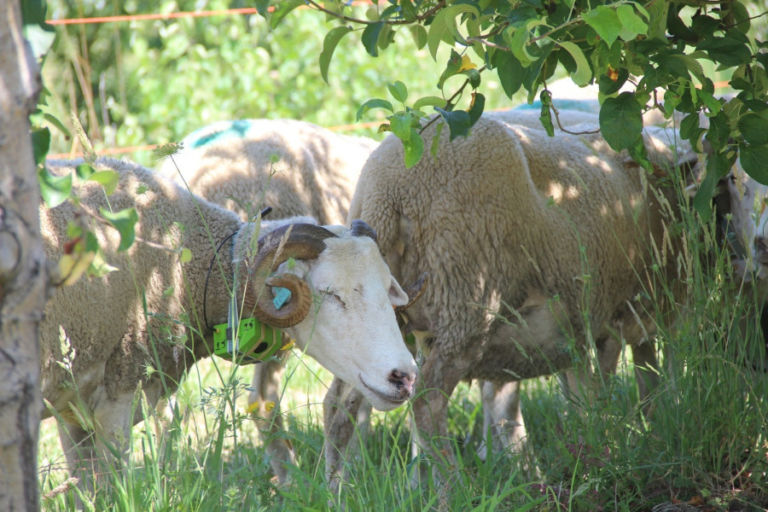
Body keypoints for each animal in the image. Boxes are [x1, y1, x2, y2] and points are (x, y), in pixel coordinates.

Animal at [39, 157, 416, 484]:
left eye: (389, 288)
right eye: (330, 293)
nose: (404, 376)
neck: (187, 265)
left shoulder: (72, 408)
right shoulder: (118, 394)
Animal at [324, 111, 708, 488]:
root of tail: (389, 191)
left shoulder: (587, 327)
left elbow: (597, 394)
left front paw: (600, 452)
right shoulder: (618, 319)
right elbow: (621, 388)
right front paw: (620, 450)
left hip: (376, 321)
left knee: (339, 406)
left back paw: (337, 491)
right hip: (465, 303)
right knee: (428, 403)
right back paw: (454, 489)